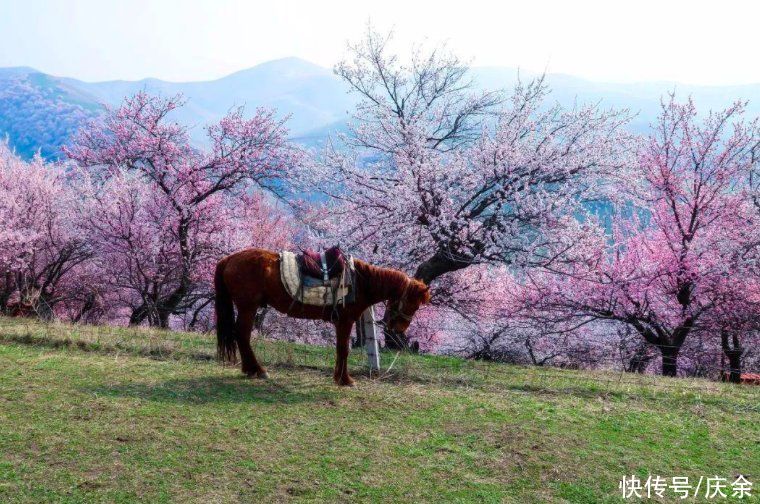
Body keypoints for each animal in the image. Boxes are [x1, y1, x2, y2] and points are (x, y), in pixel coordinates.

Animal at [214, 248, 430, 386]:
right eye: (414, 304)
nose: (400, 328)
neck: (361, 282)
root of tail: (229, 259)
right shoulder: (345, 321)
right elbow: (343, 349)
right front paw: (345, 380)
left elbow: (340, 349)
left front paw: (339, 377)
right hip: (248, 307)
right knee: (242, 334)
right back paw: (258, 370)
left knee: (241, 335)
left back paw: (250, 370)